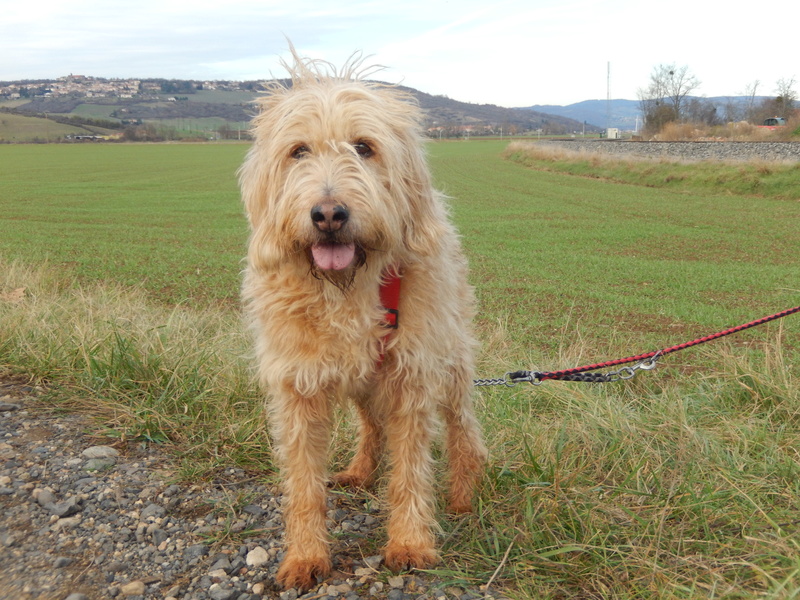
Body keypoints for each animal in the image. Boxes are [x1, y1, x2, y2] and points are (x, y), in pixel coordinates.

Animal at [238, 48, 488, 592]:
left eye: (364, 147)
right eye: (299, 151)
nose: (329, 214)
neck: (347, 289)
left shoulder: (413, 374)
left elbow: (411, 467)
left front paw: (410, 542)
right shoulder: (299, 385)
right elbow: (304, 483)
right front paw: (306, 556)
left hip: (451, 360)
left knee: (463, 427)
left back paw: (465, 492)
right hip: (363, 380)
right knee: (371, 423)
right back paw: (360, 470)